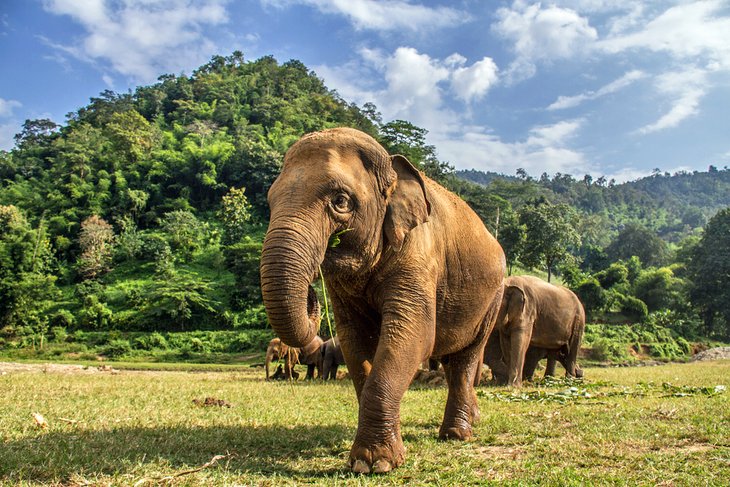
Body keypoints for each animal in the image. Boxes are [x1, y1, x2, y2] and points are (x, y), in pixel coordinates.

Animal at [258, 127, 504, 474]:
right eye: (270, 201)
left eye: (340, 201)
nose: (311, 293)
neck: (391, 166)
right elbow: (354, 340)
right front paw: (368, 459)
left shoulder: (419, 254)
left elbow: (414, 335)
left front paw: (375, 463)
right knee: (450, 356)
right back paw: (472, 420)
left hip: (493, 298)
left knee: (465, 358)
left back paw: (456, 434)